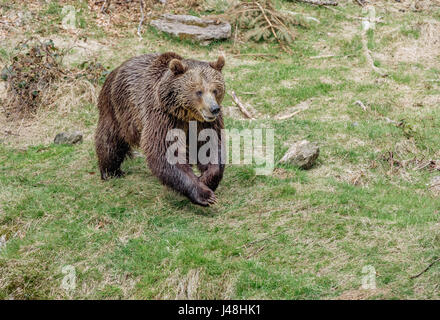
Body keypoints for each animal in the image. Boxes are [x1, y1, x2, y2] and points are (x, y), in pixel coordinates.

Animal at [96, 52, 227, 208]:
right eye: (199, 91)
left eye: (215, 90)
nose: (214, 109)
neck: (185, 114)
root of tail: (115, 70)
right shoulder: (163, 118)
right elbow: (165, 152)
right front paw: (204, 195)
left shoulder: (205, 124)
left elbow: (210, 147)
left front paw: (206, 179)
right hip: (117, 109)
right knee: (110, 139)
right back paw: (111, 171)